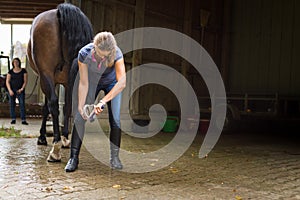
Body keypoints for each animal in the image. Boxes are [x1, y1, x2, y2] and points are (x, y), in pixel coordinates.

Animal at [27, 3, 94, 162]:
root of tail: (59, 12)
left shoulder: (47, 79)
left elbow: (47, 107)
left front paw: (42, 137)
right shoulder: (66, 82)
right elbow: (67, 106)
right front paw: (65, 138)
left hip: (46, 75)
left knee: (53, 104)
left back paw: (55, 149)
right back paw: (63, 141)